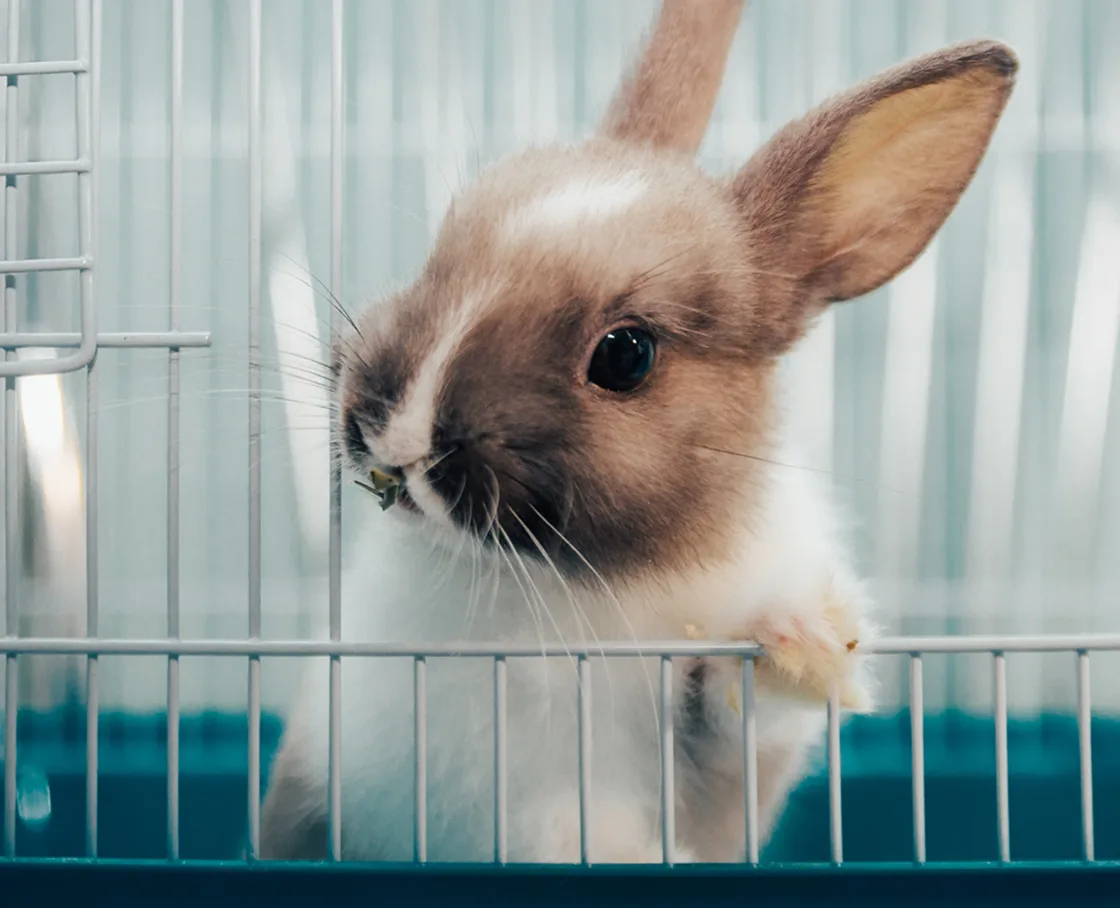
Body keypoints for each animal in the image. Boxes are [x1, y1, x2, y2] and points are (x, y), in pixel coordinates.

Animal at [260, 0, 1017, 864]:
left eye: (625, 355)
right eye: (438, 256)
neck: (564, 580)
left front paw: (805, 638)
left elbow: (731, 715)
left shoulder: (713, 754)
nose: (398, 433)